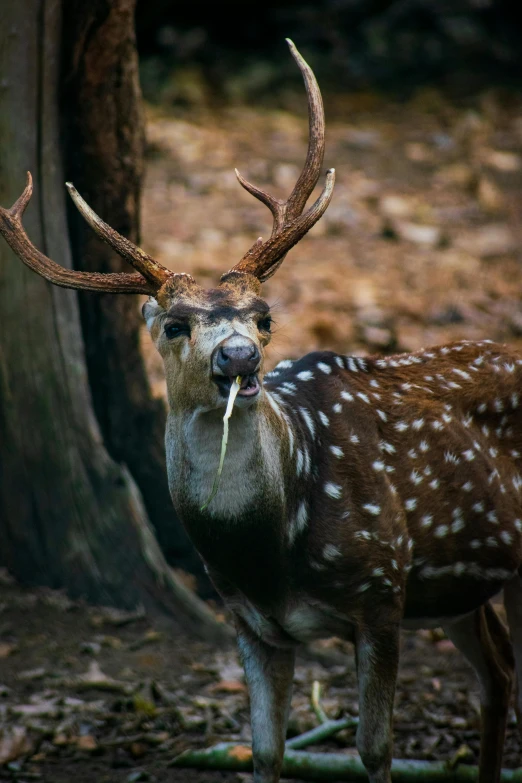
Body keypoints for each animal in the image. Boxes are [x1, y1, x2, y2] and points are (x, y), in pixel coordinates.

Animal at [1, 38, 520, 783]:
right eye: (175, 325)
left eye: (263, 315)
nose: (240, 356)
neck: (270, 553)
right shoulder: (249, 621)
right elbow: (265, 749)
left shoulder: (381, 588)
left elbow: (375, 747)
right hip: (458, 587)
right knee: (498, 672)